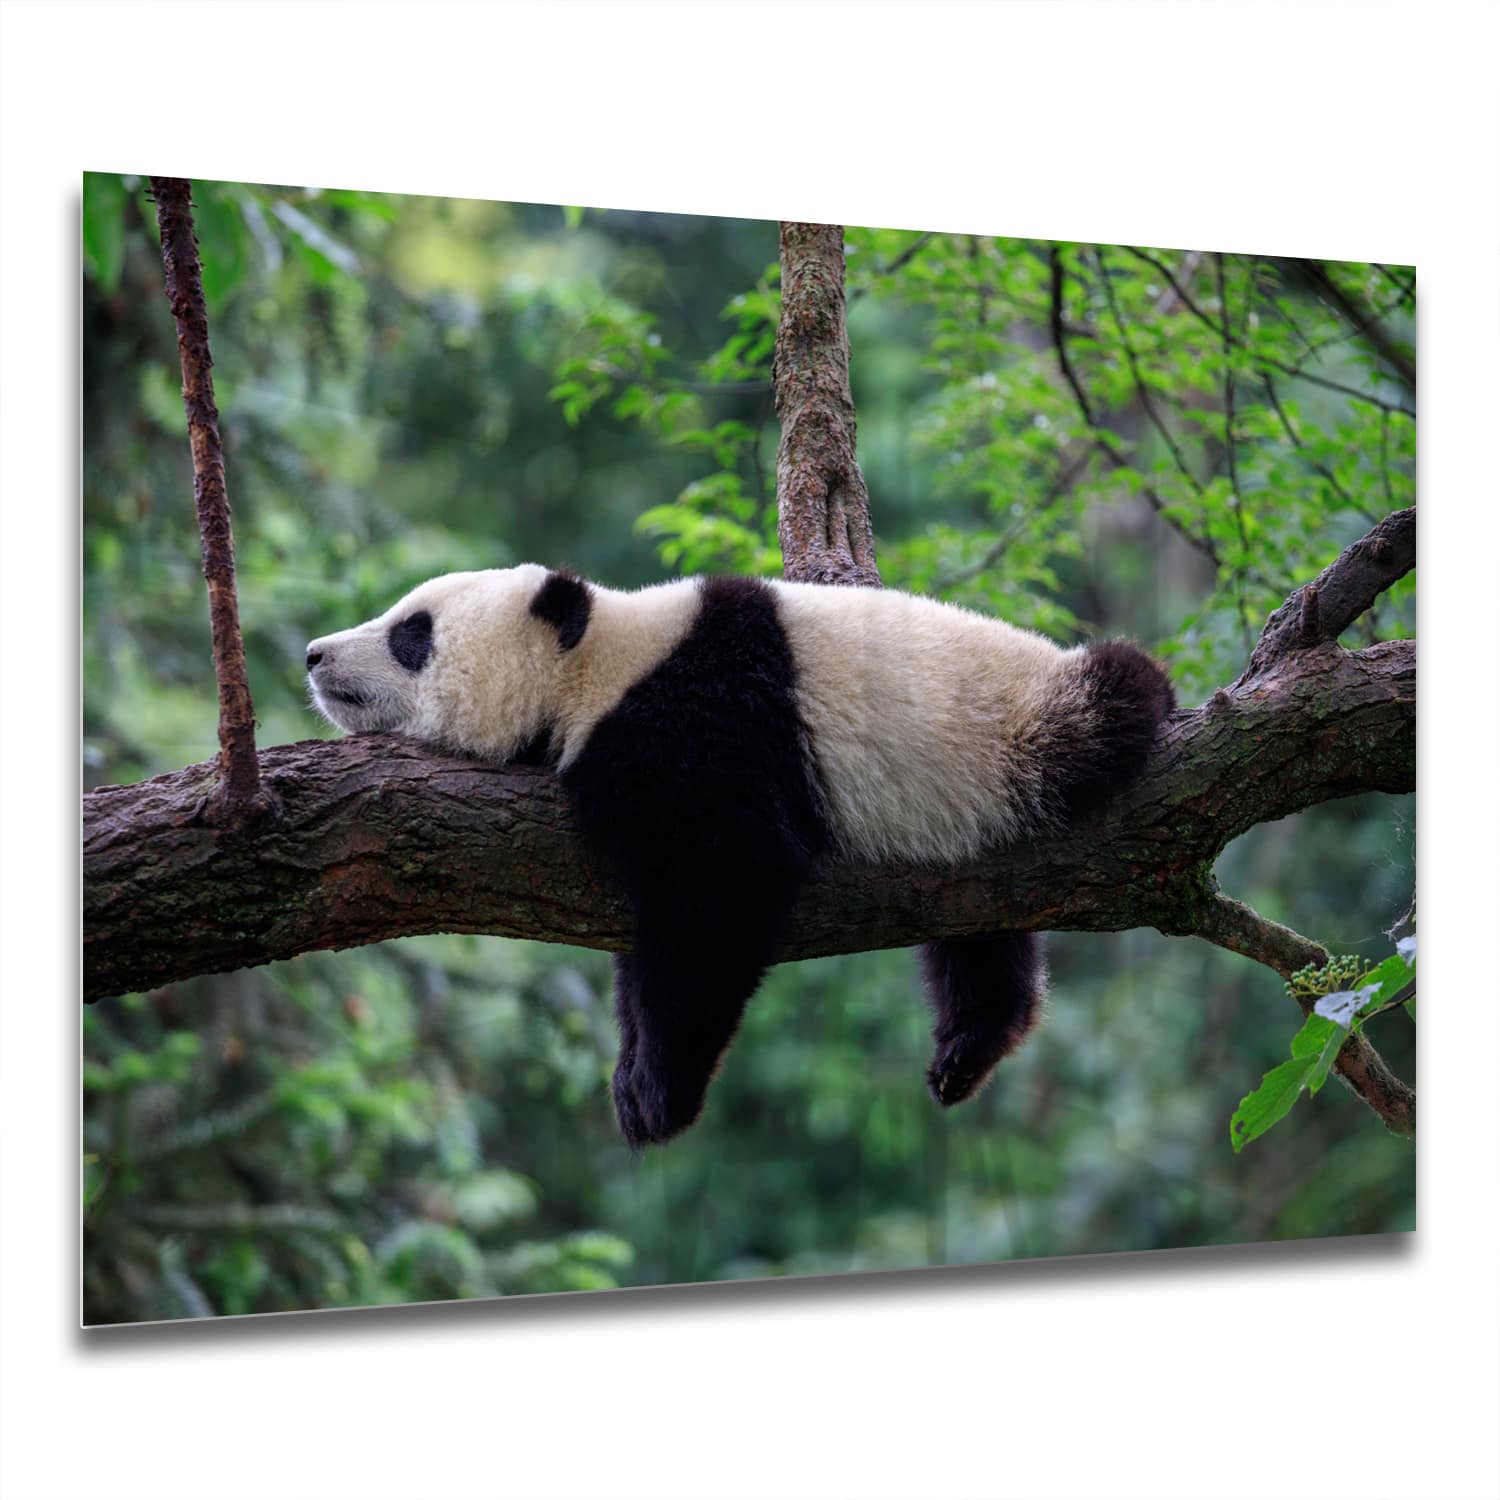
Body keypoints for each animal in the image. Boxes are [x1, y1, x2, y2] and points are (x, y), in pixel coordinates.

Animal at [306, 565, 1174, 1148]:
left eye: (411, 633)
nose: (314, 654)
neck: (599, 663)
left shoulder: (703, 723)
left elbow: (717, 896)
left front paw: (659, 1093)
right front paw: (629, 1075)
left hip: (1018, 737)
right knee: (981, 928)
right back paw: (971, 1044)